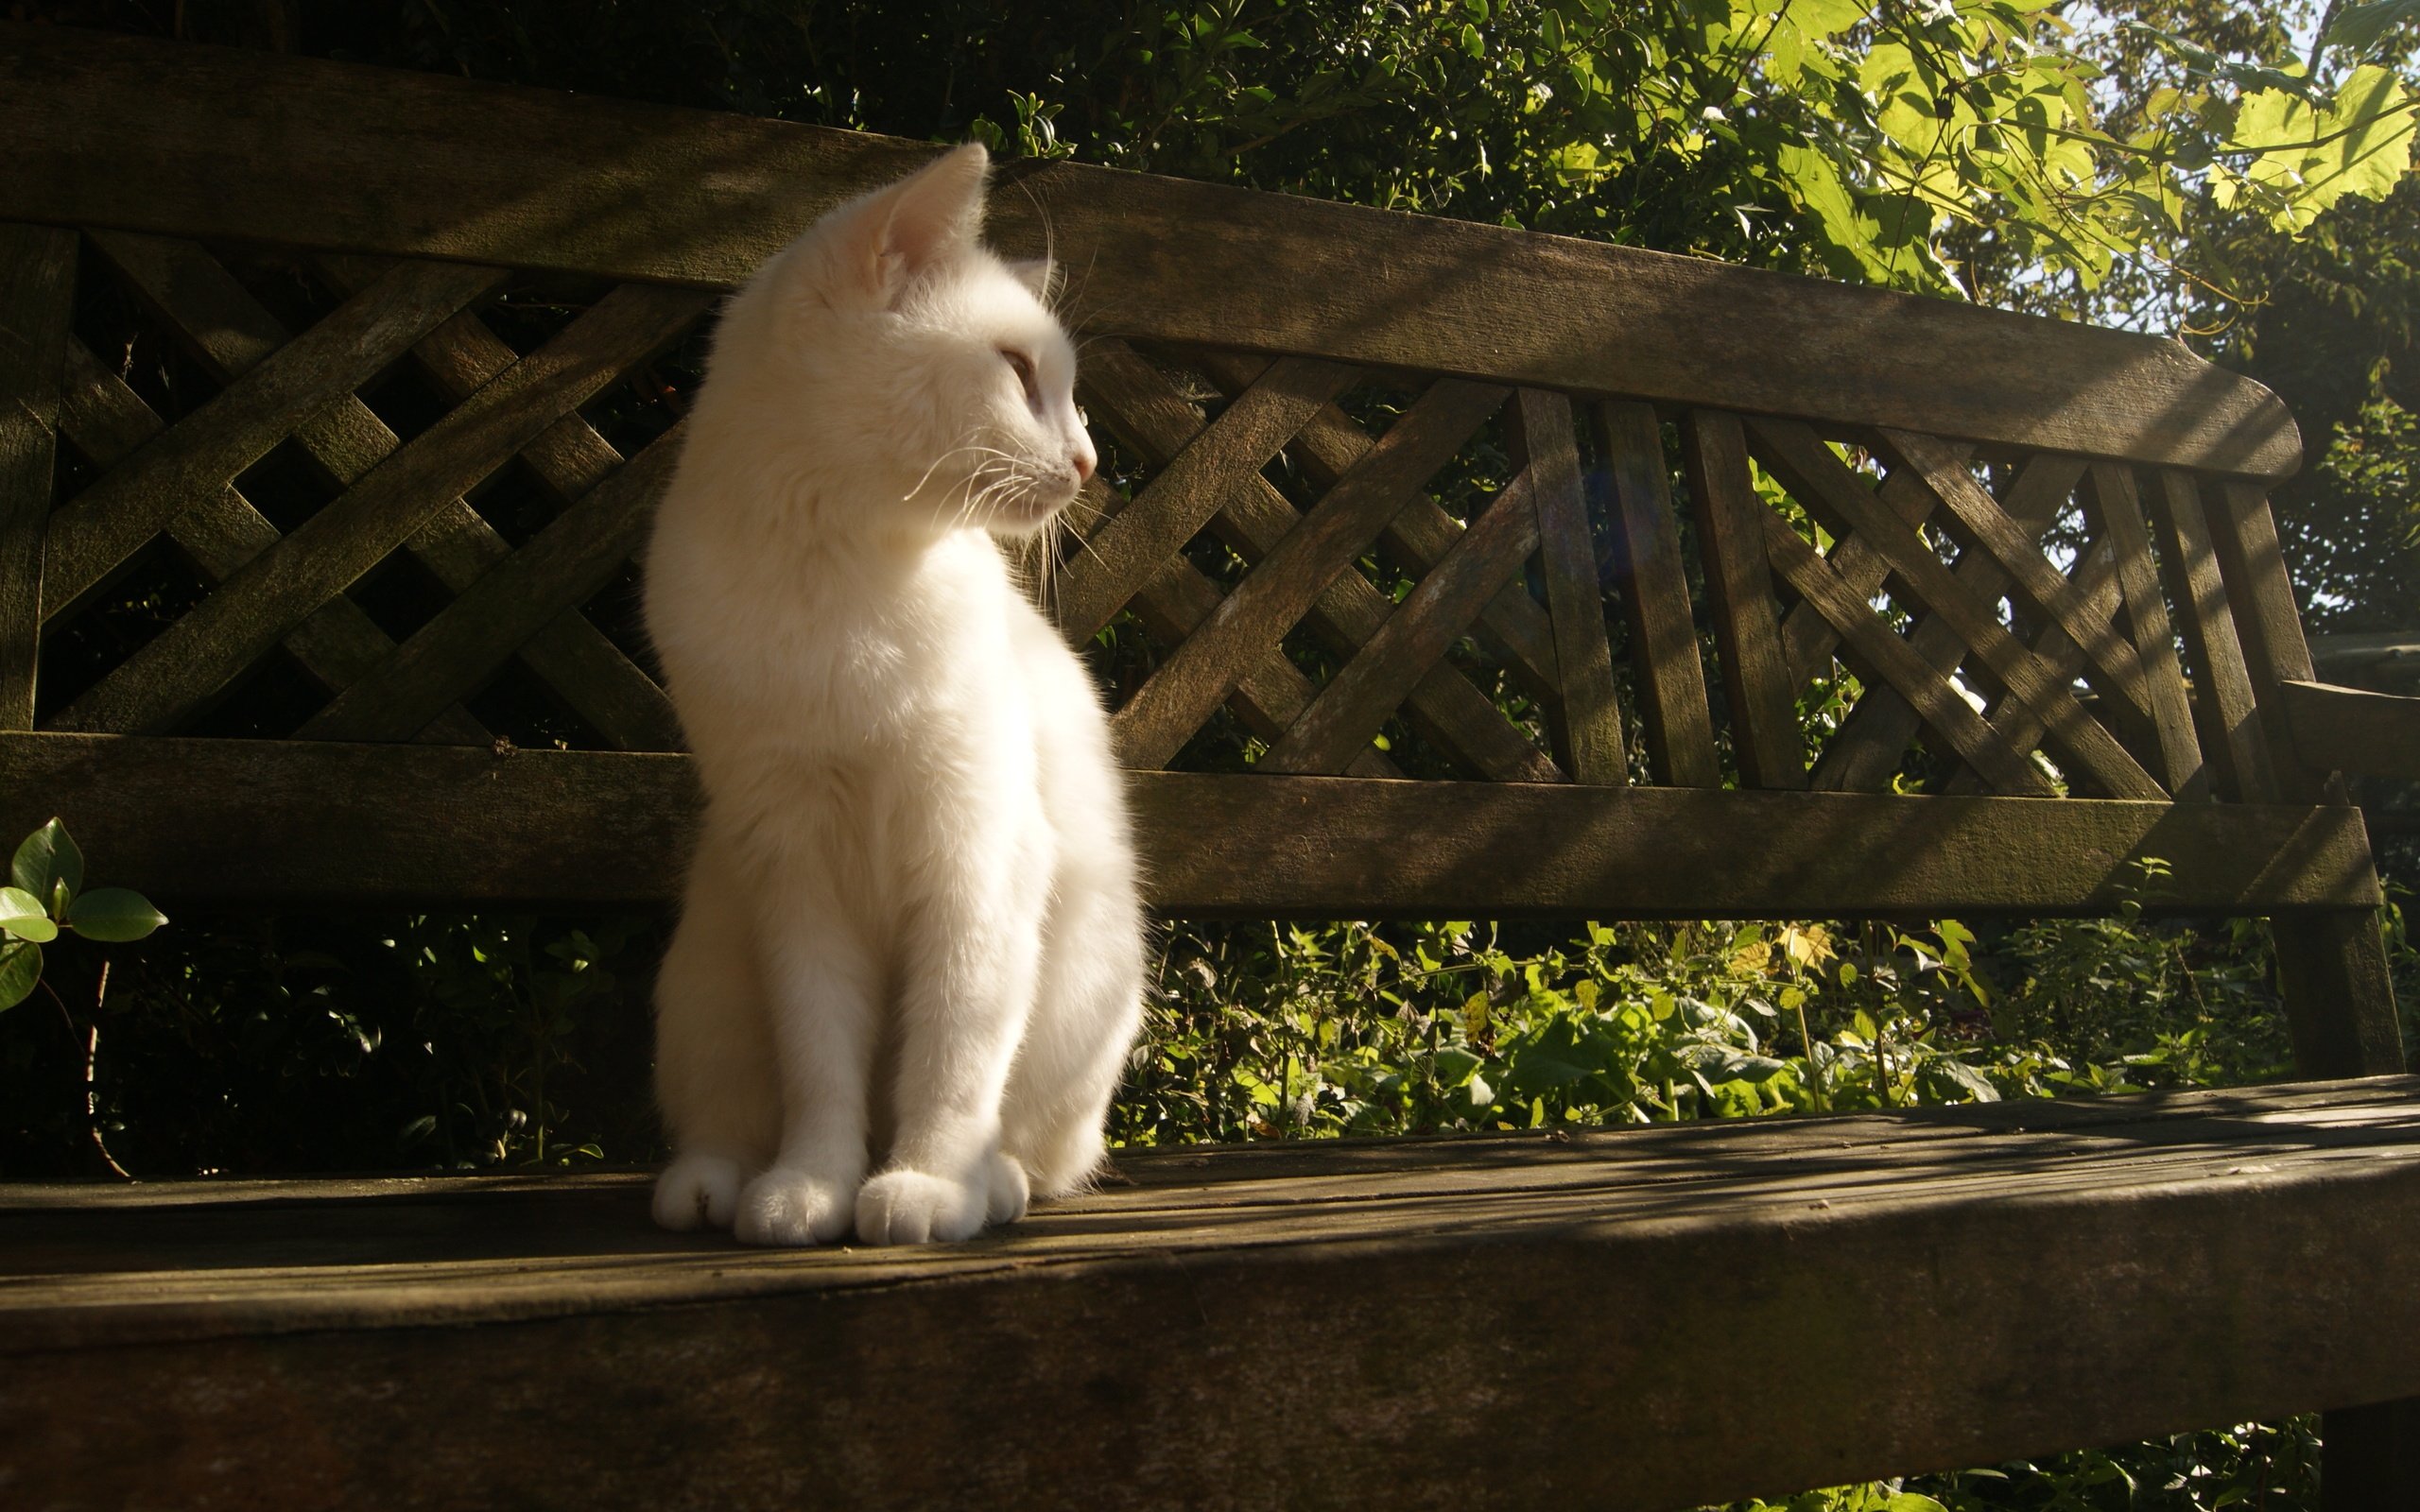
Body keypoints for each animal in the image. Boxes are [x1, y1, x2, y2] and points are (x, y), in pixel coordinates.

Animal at [633, 144, 1142, 1247]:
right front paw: (811, 1190)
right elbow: (821, 1067)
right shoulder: (793, 868)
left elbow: (951, 1059)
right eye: (1020, 372)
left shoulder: (975, 858)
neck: (834, 578)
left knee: (1038, 1145)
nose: (1087, 462)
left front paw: (924, 1188)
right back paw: (714, 1188)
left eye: (1065, 389)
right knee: (727, 1115)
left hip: (1082, 991)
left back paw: (993, 1185)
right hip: (711, 966)